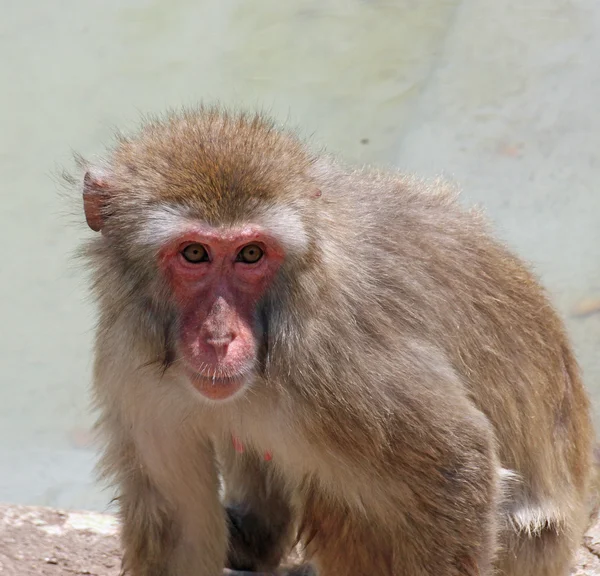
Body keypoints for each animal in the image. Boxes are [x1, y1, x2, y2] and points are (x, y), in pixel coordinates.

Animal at [74, 108, 592, 576]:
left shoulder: (332, 357)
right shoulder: (132, 363)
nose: (220, 337)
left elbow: (456, 463)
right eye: (195, 253)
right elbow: (179, 526)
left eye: (251, 254)